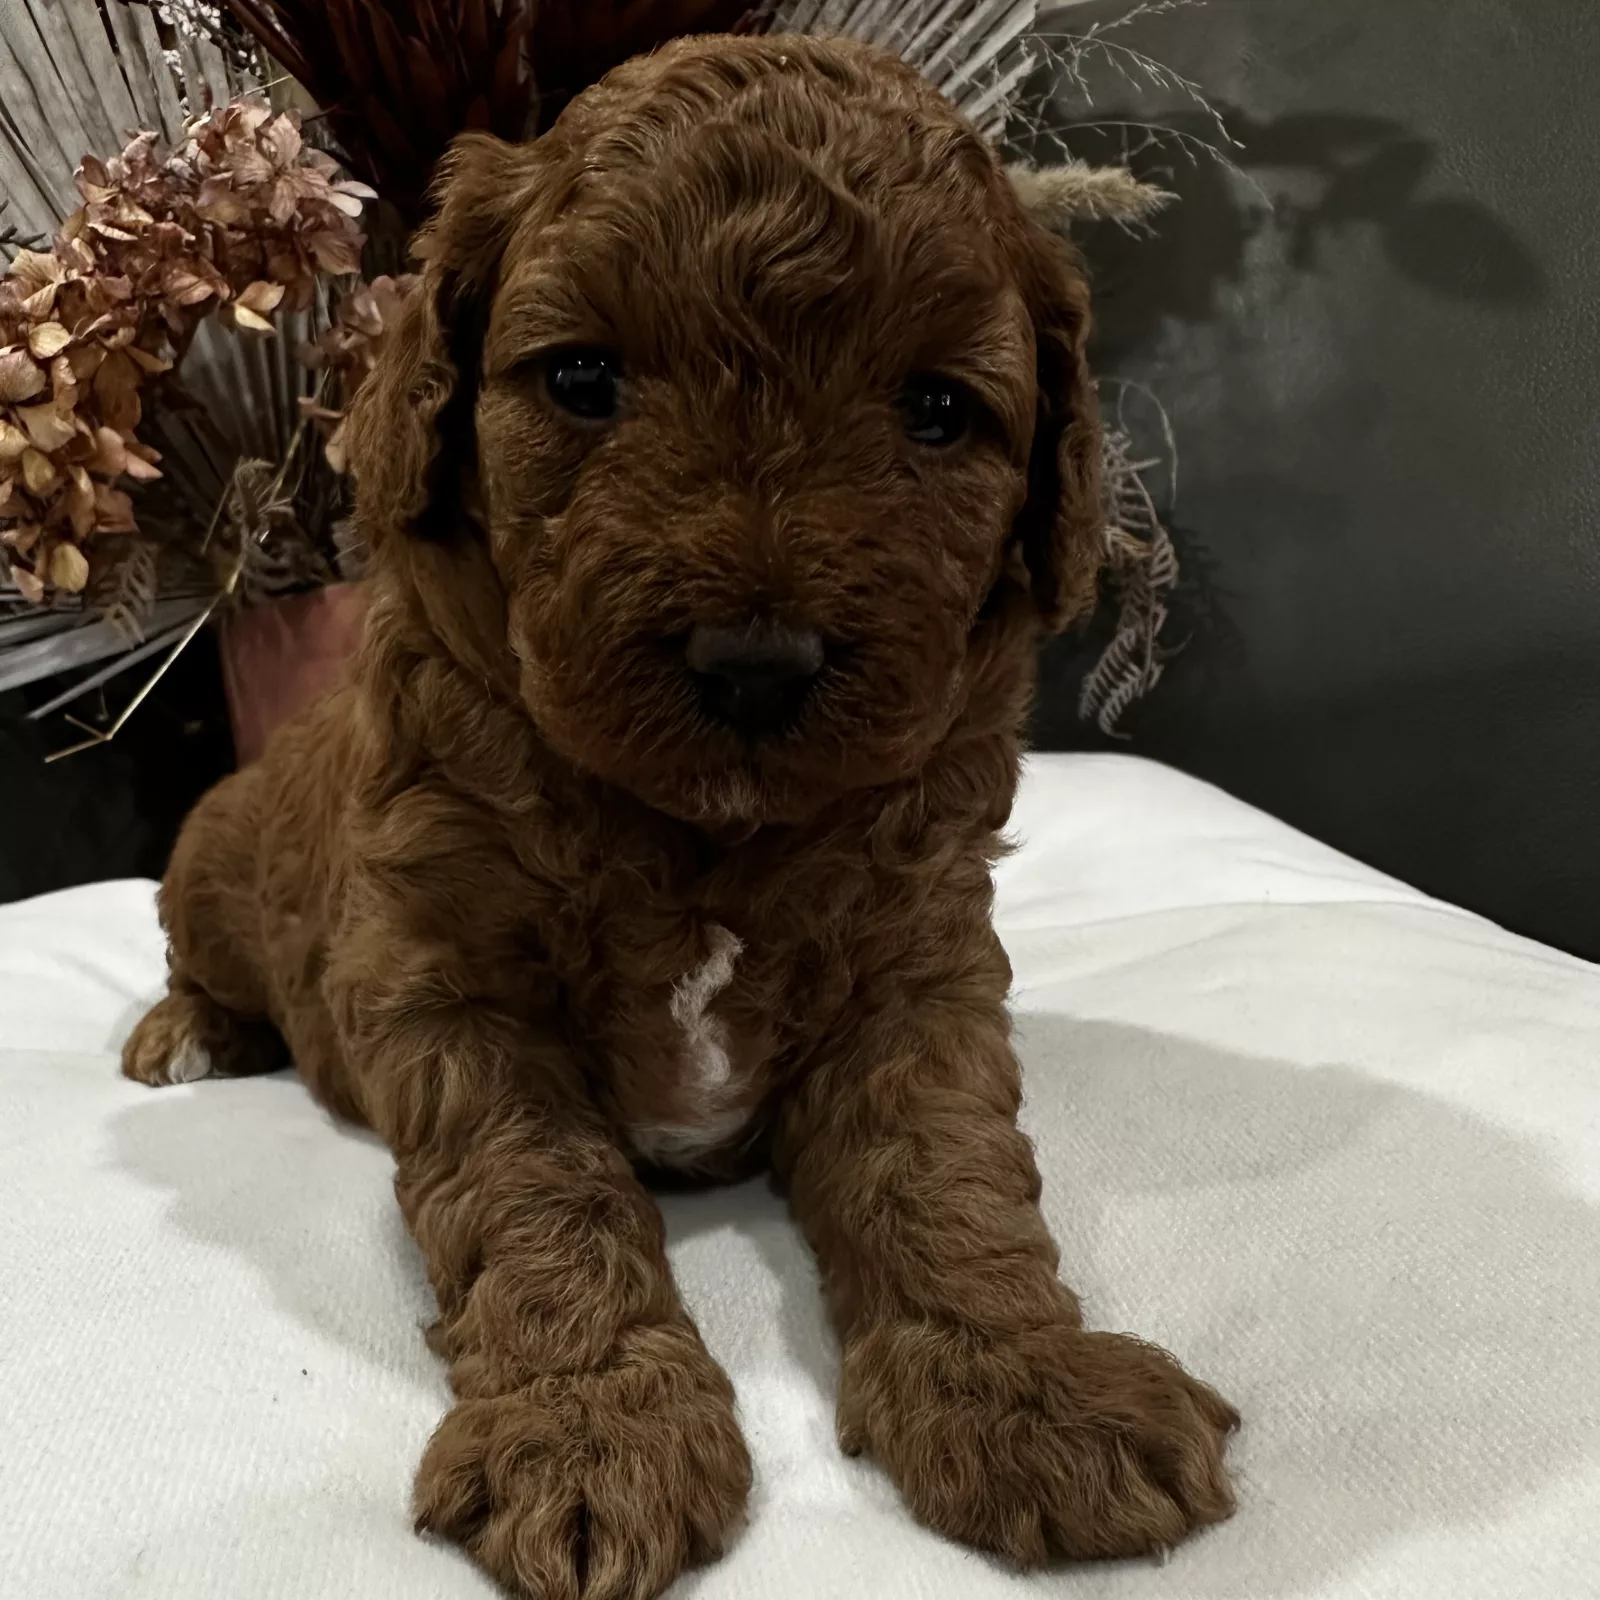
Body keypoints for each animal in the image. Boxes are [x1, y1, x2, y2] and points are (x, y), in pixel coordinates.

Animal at [124, 33, 1236, 1599]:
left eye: (939, 410)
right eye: (584, 377)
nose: (755, 661)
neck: (704, 832)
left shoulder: (919, 973)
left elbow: (944, 1172)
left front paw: (1023, 1384)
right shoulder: (453, 993)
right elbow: (538, 1195)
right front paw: (591, 1428)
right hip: (208, 868)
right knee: (197, 956)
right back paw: (188, 1034)